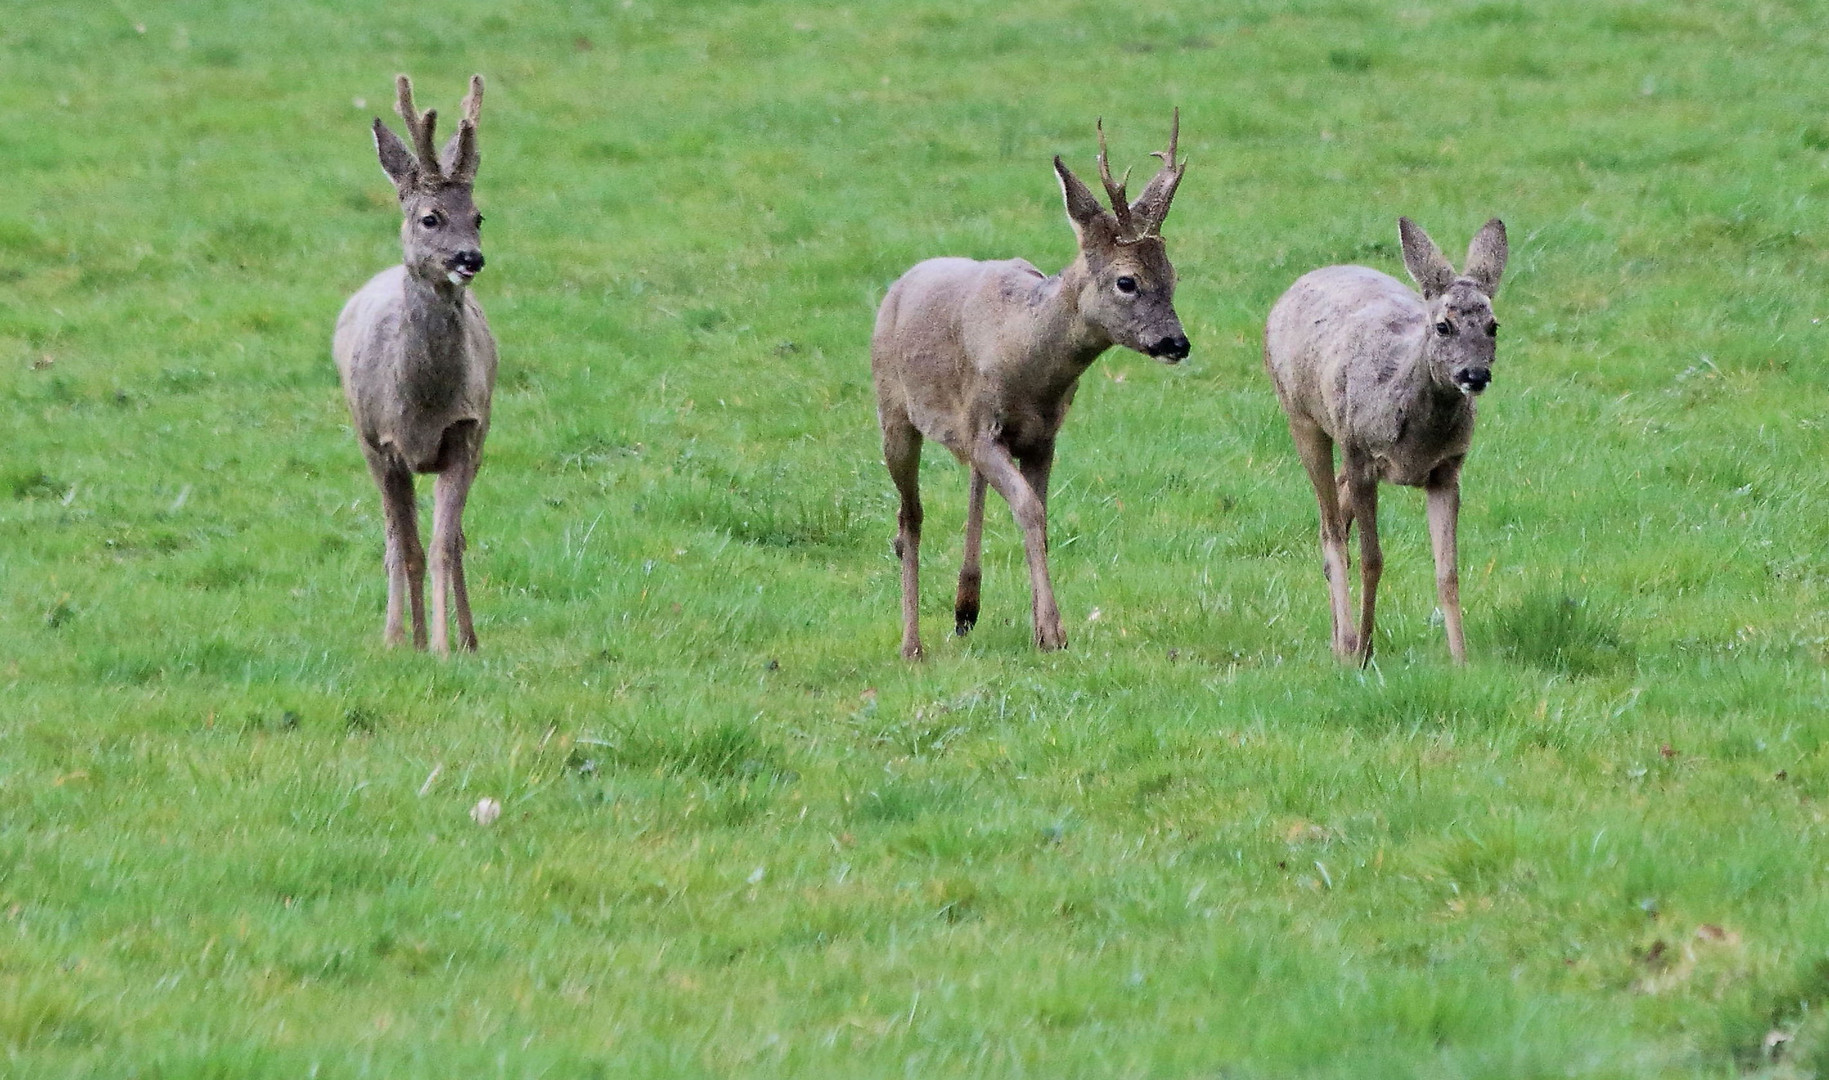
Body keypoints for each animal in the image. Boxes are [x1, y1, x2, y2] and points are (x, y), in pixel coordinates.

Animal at [336, 74, 501, 658]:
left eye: (478, 216)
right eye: (431, 217)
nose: (470, 258)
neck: (422, 406)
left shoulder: (466, 431)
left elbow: (443, 544)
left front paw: (447, 646)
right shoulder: (379, 443)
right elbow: (403, 545)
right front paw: (395, 639)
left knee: (457, 538)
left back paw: (467, 638)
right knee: (396, 539)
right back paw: (409, 635)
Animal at [874, 112, 1192, 658]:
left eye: (1172, 276)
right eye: (1127, 281)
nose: (1177, 342)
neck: (1025, 360)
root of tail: (895, 290)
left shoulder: (1043, 435)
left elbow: (1038, 512)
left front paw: (1039, 624)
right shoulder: (982, 426)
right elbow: (1028, 509)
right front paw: (1052, 632)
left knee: (969, 484)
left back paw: (965, 606)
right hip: (893, 412)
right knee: (908, 518)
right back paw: (912, 645)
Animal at [1265, 216, 1507, 666]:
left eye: (1493, 325)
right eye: (1443, 325)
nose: (1475, 375)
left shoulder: (1447, 471)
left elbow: (1448, 572)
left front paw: (1461, 661)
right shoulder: (1362, 454)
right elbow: (1372, 560)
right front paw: (1363, 652)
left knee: (1336, 510)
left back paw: (1338, 638)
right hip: (1304, 418)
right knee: (1331, 531)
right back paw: (1346, 644)